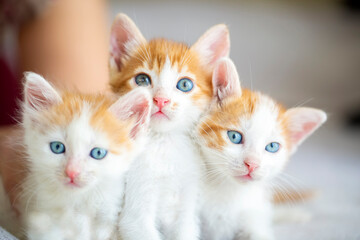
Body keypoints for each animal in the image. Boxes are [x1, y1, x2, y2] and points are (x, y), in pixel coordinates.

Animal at [108, 14, 229, 239]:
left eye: (184, 84)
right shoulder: (134, 216)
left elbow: (186, 229)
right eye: (142, 80)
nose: (161, 100)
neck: (163, 146)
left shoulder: (189, 202)